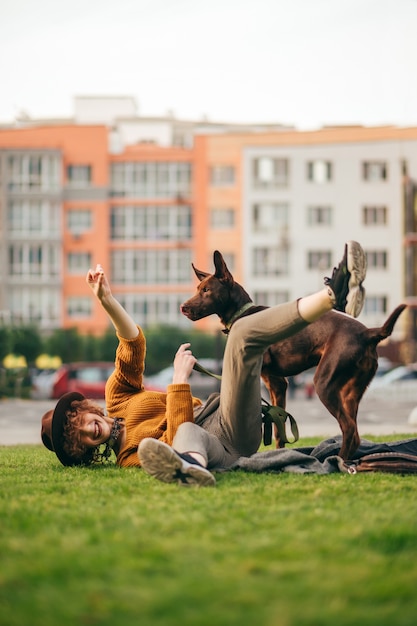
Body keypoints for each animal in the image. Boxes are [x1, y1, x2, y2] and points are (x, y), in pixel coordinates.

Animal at [180, 249, 406, 458]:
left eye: (207, 290)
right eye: (198, 289)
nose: (183, 307)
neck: (242, 314)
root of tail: (368, 333)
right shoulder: (277, 384)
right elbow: (278, 429)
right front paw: (279, 454)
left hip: (325, 383)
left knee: (349, 429)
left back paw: (338, 462)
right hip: (351, 393)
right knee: (355, 432)